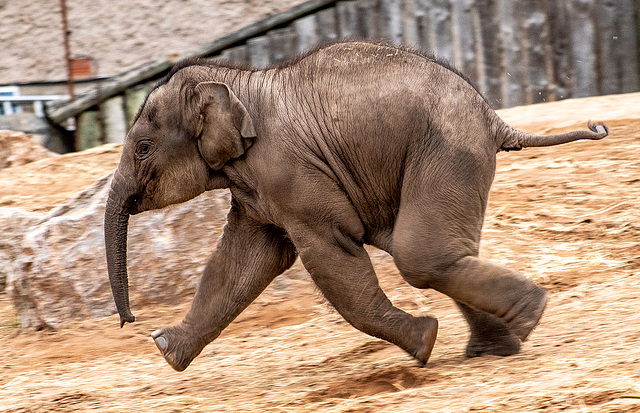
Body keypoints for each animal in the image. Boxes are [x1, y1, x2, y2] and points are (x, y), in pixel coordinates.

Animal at [102, 41, 608, 370]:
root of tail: (494, 118)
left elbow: (328, 254)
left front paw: (425, 342)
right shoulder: (257, 187)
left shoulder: (290, 173)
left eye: (143, 149)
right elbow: (245, 260)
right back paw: (497, 349)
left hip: (447, 149)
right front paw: (166, 349)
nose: (130, 322)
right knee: (440, 253)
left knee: (421, 255)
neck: (237, 81)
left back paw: (529, 317)